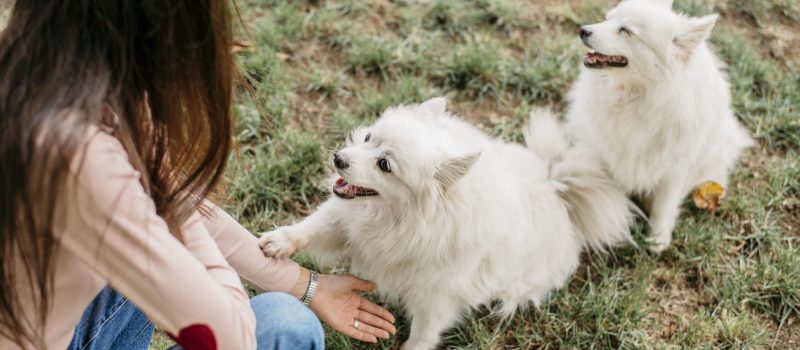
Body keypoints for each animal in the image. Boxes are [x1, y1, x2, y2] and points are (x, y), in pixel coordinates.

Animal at [260, 98, 636, 350]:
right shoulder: (347, 223)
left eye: (385, 165)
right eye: (368, 138)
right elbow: (310, 229)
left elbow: (422, 336)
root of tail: (556, 186)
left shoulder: (436, 298)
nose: (339, 159)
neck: (405, 219)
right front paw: (278, 243)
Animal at [564, 0, 752, 252]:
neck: (639, 98)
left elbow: (664, 204)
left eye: (626, 31)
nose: (583, 30)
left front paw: (657, 239)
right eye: (607, 18)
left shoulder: (674, 168)